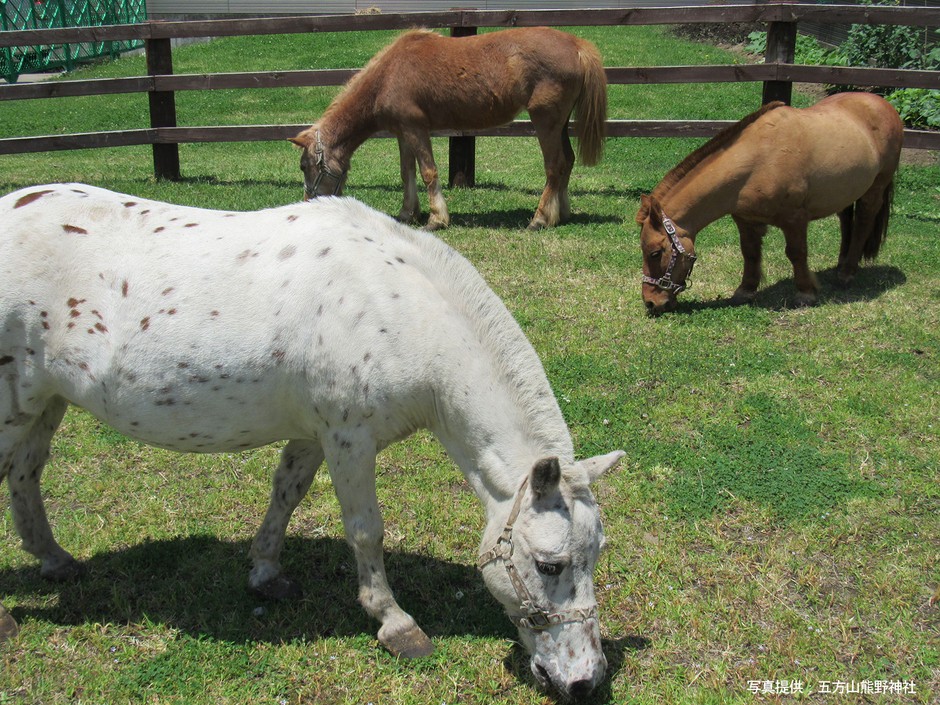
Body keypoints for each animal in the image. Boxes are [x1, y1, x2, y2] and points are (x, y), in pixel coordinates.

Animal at [0, 184, 624, 699]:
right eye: (548, 565)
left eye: (596, 554)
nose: (584, 680)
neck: (395, 305)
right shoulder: (349, 438)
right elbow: (366, 531)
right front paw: (393, 622)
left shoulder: (314, 435)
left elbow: (286, 494)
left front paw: (265, 573)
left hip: (43, 403)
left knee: (26, 474)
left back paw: (55, 561)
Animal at [290, 27, 607, 231]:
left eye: (305, 166)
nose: (307, 204)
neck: (388, 75)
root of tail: (578, 45)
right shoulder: (403, 133)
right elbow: (407, 172)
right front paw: (408, 213)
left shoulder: (416, 129)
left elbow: (428, 172)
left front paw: (436, 219)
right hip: (560, 124)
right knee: (567, 162)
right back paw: (559, 214)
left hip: (546, 121)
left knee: (555, 165)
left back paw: (539, 219)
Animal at [635, 92, 904, 315]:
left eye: (655, 252)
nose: (651, 302)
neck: (758, 162)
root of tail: (883, 104)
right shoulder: (745, 220)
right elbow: (750, 252)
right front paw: (745, 290)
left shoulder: (795, 219)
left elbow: (796, 253)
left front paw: (806, 293)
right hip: (846, 191)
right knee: (847, 221)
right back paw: (841, 265)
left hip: (875, 188)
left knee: (863, 223)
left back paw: (847, 273)